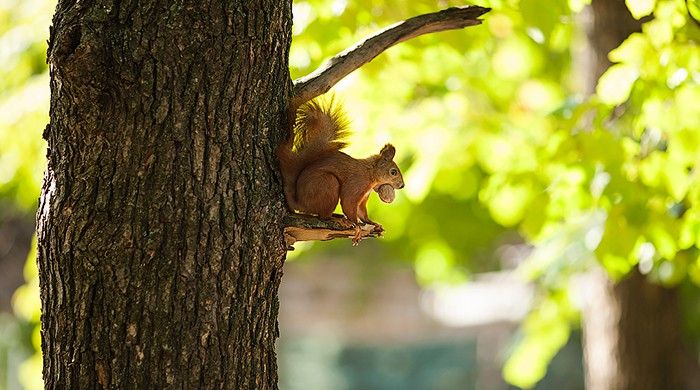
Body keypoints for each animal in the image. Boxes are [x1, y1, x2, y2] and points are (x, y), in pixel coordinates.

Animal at [276, 97, 402, 232]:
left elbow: (361, 212)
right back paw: (337, 220)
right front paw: (357, 226)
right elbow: (348, 203)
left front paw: (372, 223)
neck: (370, 173)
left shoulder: (363, 197)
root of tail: (299, 202)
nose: (402, 185)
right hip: (327, 184)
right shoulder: (356, 184)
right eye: (393, 172)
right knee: (323, 216)